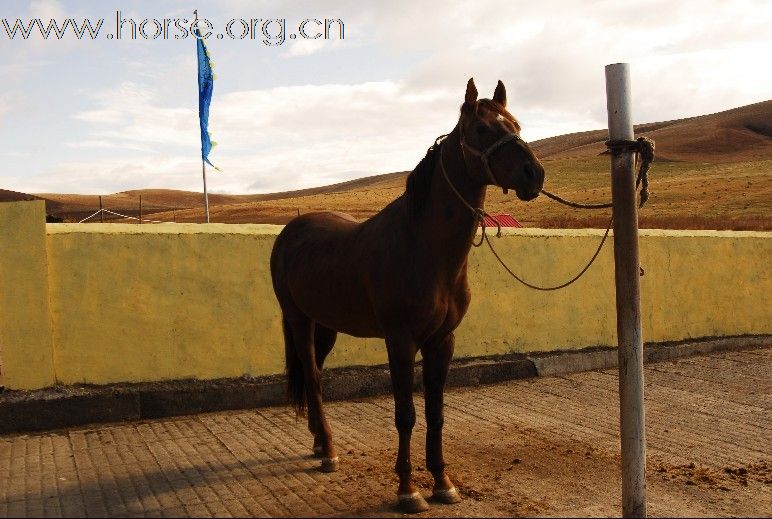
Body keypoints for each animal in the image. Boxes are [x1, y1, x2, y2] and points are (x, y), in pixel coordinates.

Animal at [270, 79, 544, 512]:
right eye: (483, 128)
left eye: (515, 123)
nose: (534, 174)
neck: (424, 247)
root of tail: (289, 234)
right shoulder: (400, 342)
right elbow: (406, 415)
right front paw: (407, 489)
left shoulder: (441, 341)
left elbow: (436, 413)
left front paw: (443, 483)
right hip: (298, 319)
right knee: (311, 376)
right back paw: (328, 450)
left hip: (325, 325)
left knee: (315, 376)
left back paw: (318, 442)